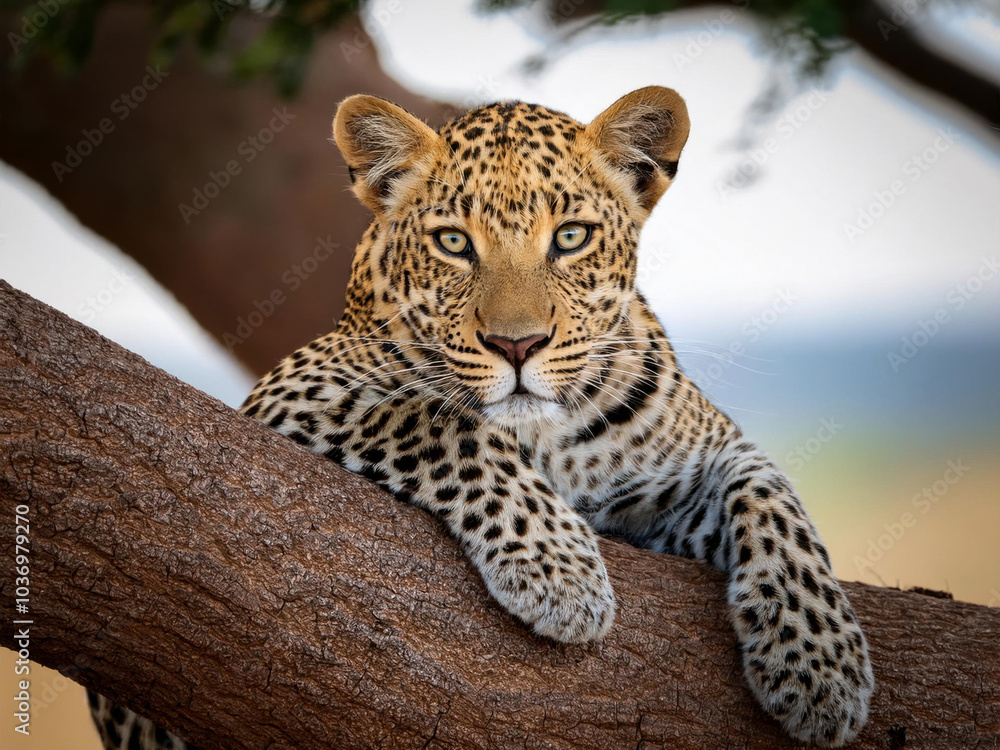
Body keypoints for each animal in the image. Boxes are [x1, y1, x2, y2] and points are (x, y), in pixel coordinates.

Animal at [89, 86, 873, 749]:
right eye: (454, 243)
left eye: (571, 237)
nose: (517, 344)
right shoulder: (286, 397)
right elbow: (441, 420)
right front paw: (560, 574)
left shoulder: (699, 462)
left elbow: (773, 495)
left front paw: (822, 668)